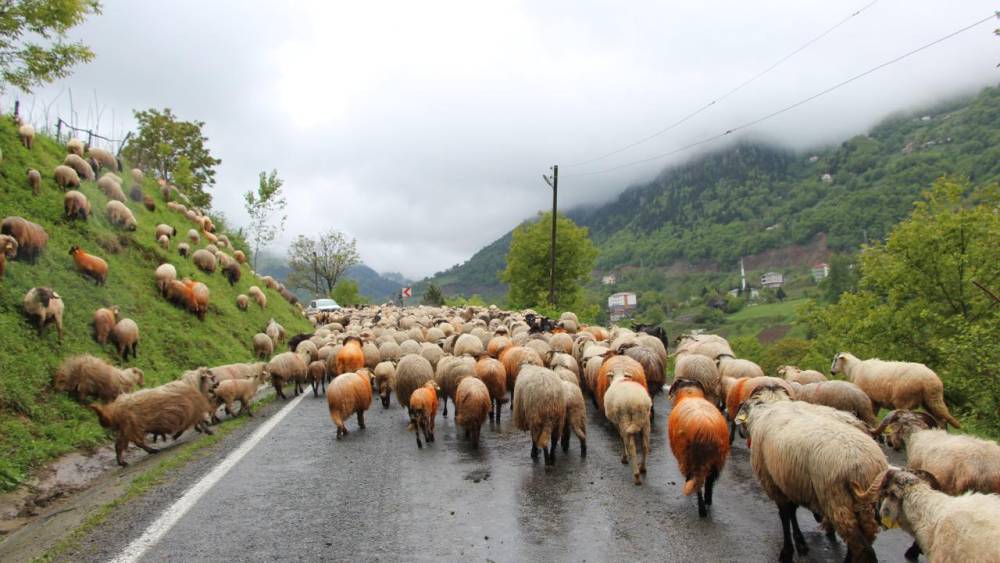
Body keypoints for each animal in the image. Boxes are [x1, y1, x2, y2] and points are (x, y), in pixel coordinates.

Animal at [672, 378, 728, 516]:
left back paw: (702, 510)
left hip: (691, 458)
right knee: (709, 481)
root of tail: (706, 429)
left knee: (697, 482)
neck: (690, 394)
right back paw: (708, 501)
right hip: (717, 459)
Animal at [732, 388, 888, 563]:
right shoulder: (790, 479)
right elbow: (792, 512)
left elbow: (784, 515)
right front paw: (800, 543)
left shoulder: (773, 481)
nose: (740, 433)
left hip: (836, 500)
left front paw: (787, 552)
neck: (766, 410)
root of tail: (863, 465)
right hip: (865, 507)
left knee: (862, 547)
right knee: (862, 541)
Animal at [828, 354, 960, 430]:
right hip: (931, 399)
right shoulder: (876, 400)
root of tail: (930, 380)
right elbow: (874, 416)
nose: (831, 372)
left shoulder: (869, 399)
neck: (854, 369)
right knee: (941, 419)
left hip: (904, 399)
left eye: (835, 360)